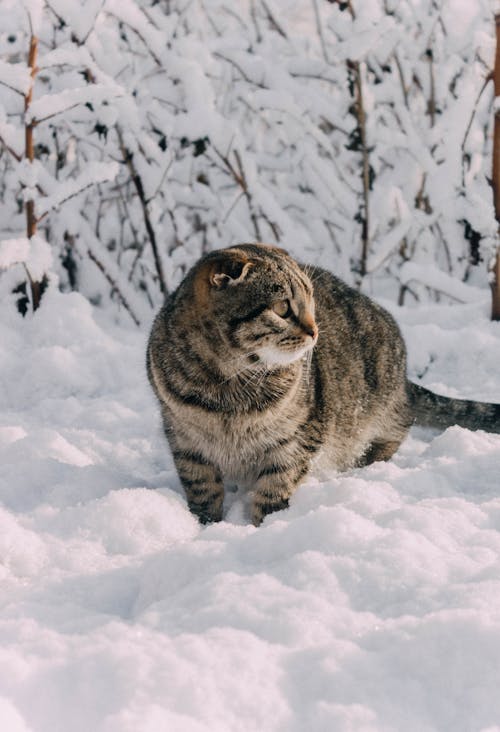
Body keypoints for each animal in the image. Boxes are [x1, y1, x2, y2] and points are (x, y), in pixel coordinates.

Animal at [147, 246, 500, 528]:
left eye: (310, 299)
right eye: (282, 308)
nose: (315, 331)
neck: (227, 386)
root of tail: (403, 378)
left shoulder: (298, 438)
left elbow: (275, 488)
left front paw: (262, 528)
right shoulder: (185, 441)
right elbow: (202, 489)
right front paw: (205, 526)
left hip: (380, 402)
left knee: (398, 426)